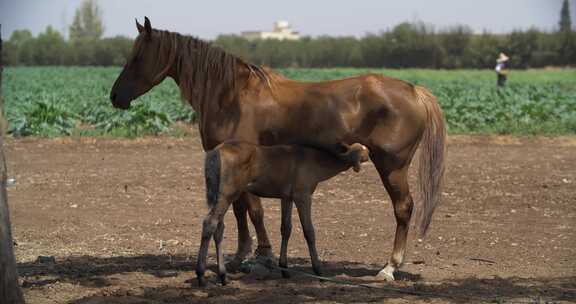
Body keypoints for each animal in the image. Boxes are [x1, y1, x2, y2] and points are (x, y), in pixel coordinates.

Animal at [198, 141, 368, 286]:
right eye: (363, 152)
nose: (368, 154)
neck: (313, 161)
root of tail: (216, 151)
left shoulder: (287, 197)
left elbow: (286, 228)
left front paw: (284, 269)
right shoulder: (303, 196)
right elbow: (309, 231)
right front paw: (319, 271)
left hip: (221, 196)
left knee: (218, 228)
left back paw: (222, 275)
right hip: (227, 194)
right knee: (210, 223)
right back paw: (201, 275)